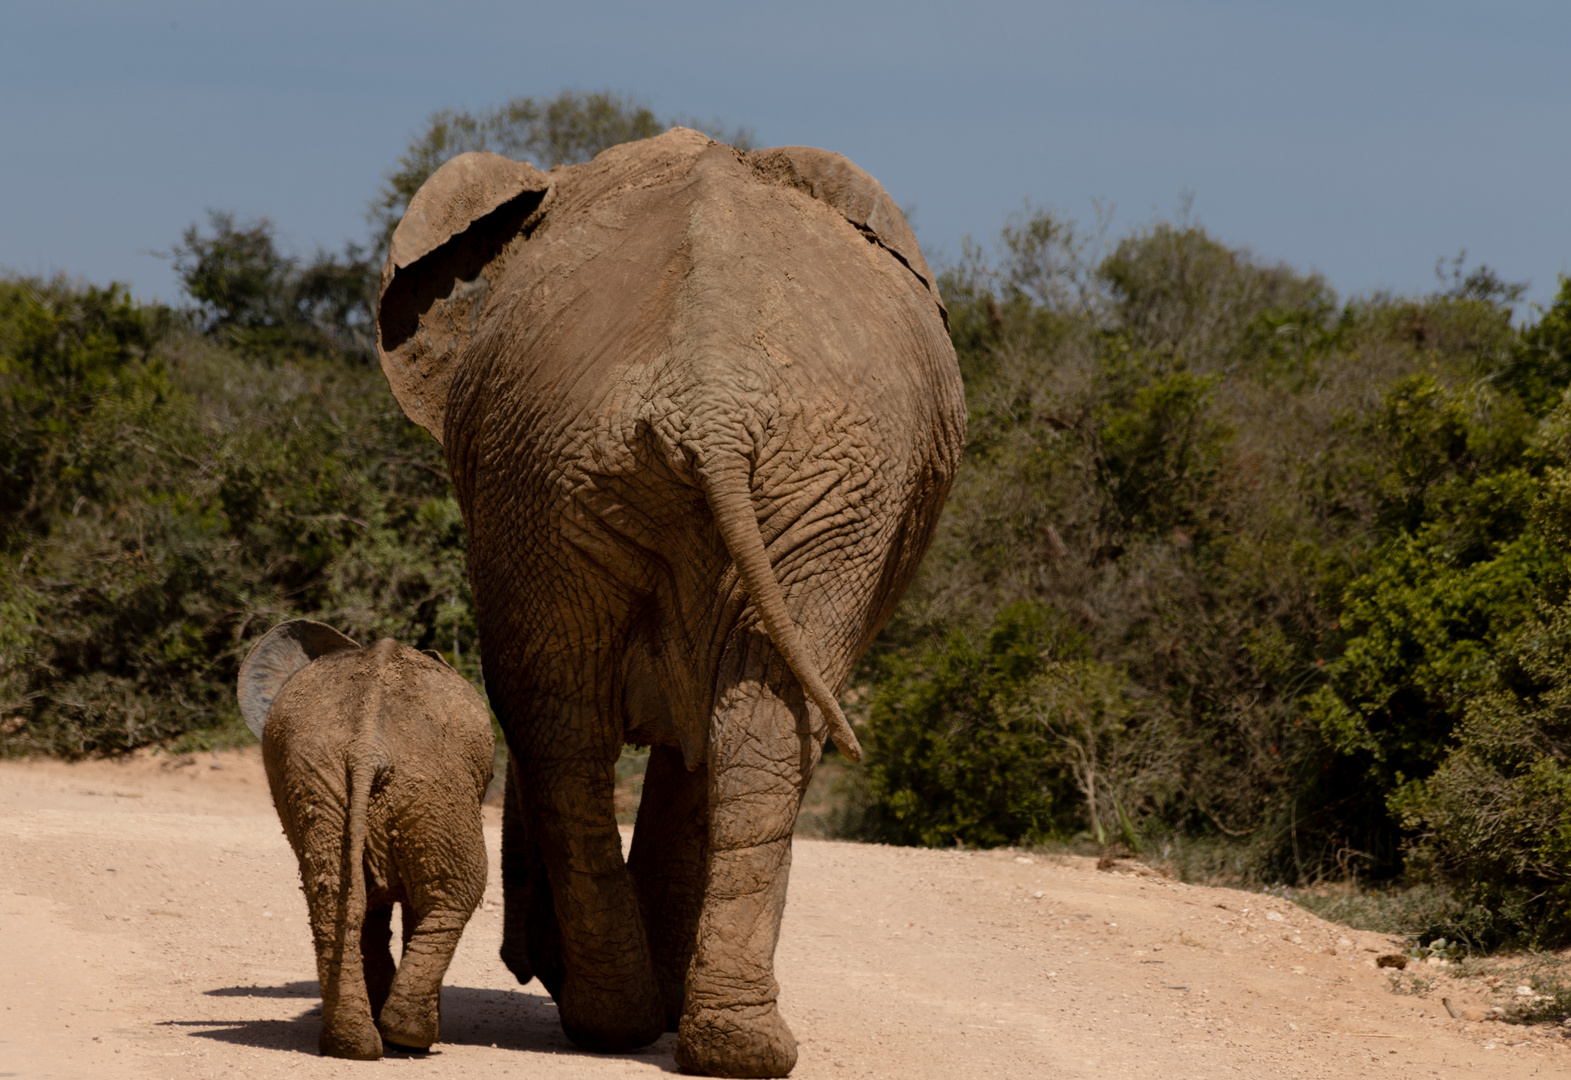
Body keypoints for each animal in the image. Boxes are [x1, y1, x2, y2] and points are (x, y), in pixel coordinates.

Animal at [235, 622, 493, 1062]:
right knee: (453, 893)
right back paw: (410, 1039)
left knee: (338, 898)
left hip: (324, 780)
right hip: (435, 786)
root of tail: (366, 746)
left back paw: (353, 1047)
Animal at [373, 131, 961, 1075]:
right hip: (584, 471)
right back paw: (673, 1029)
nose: (521, 959)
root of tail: (711, 405)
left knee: (616, 724)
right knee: (649, 727)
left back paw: (669, 1029)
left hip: (761, 482)